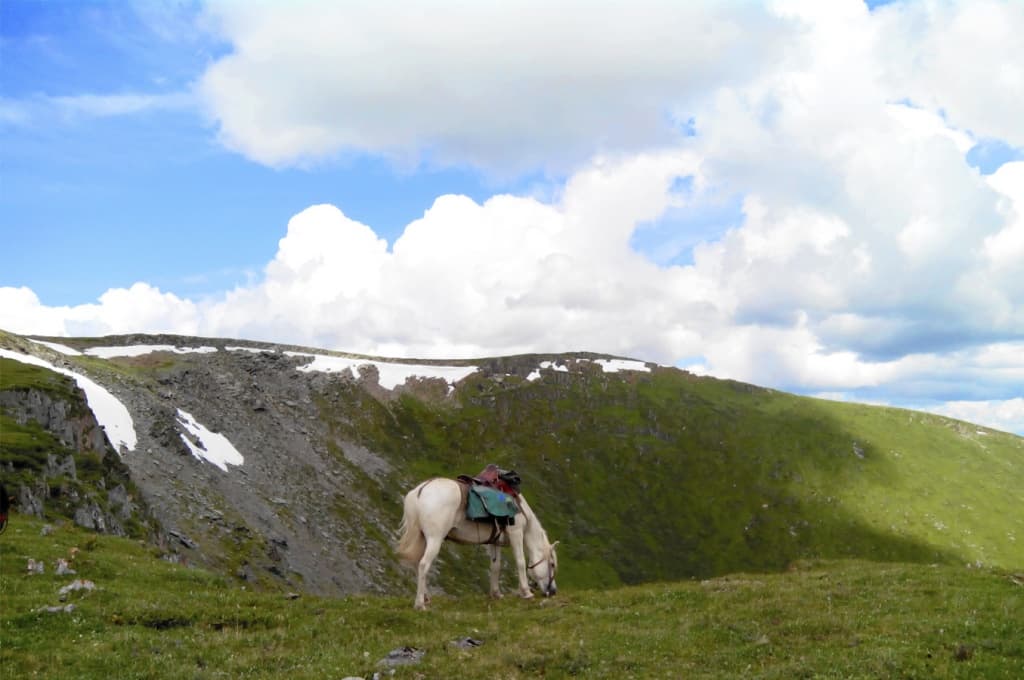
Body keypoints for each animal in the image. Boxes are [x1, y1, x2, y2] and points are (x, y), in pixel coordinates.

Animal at [397, 477, 561, 610]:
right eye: (552, 564)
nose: (553, 591)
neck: (520, 509)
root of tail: (421, 489)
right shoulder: (516, 533)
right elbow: (520, 562)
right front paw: (526, 592)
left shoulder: (495, 542)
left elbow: (495, 567)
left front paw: (496, 594)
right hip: (434, 539)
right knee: (423, 565)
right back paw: (420, 604)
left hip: (422, 539)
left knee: (417, 564)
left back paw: (425, 598)